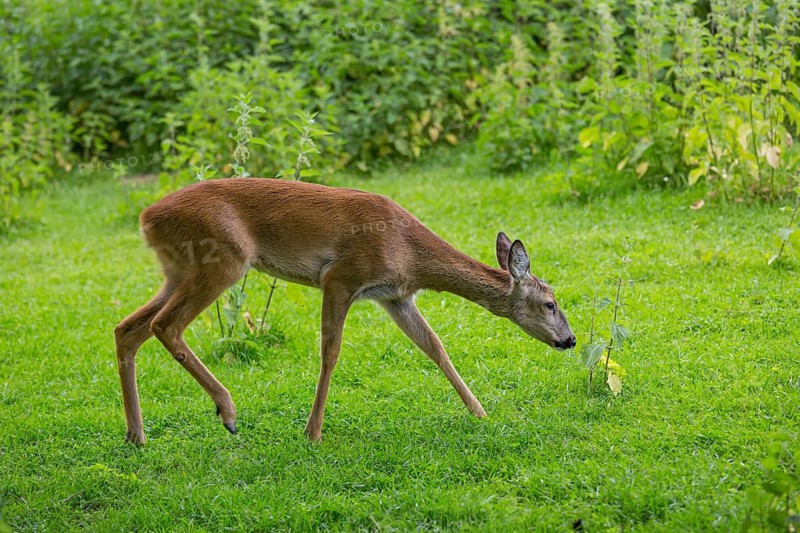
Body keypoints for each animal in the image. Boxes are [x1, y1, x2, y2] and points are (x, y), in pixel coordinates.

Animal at [114, 178, 576, 444]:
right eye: (550, 304)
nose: (570, 340)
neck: (410, 252)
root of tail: (146, 217)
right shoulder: (341, 277)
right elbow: (330, 352)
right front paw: (313, 432)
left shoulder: (394, 296)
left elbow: (435, 347)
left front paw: (480, 412)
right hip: (223, 259)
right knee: (165, 325)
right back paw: (227, 411)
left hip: (178, 270)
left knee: (127, 328)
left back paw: (137, 434)